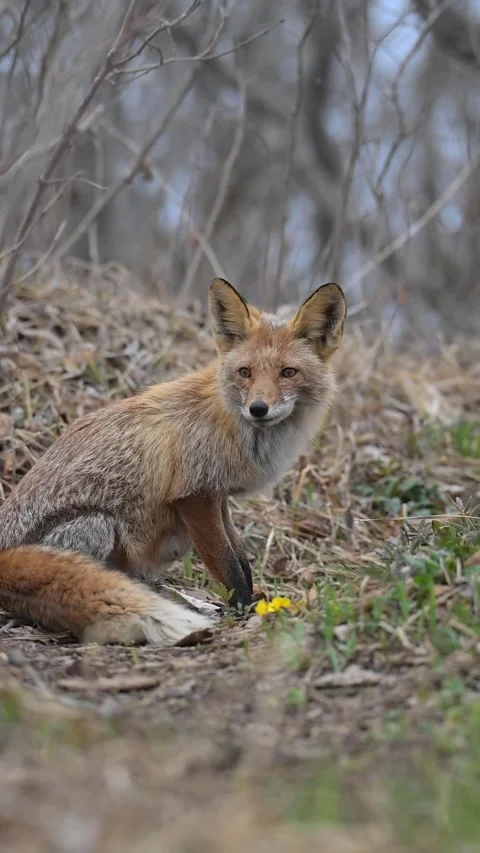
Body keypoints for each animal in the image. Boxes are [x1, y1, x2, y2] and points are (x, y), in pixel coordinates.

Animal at [0, 278, 346, 646]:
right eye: (245, 372)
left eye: (288, 372)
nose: (258, 409)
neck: (232, 423)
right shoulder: (194, 496)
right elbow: (227, 564)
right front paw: (246, 609)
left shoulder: (217, 495)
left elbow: (241, 559)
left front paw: (250, 601)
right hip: (96, 525)